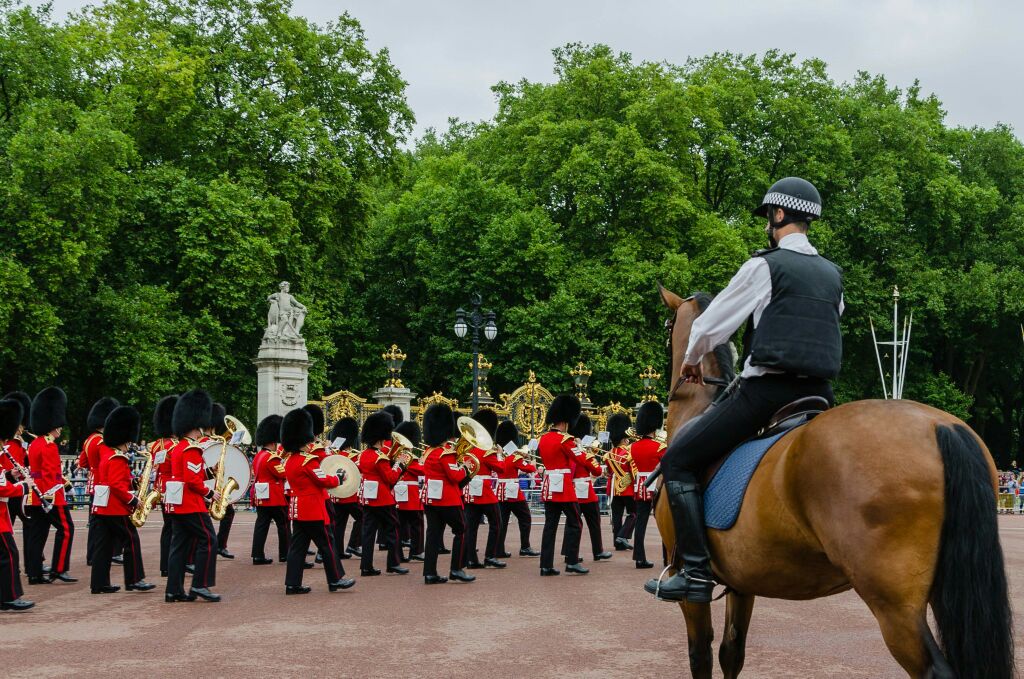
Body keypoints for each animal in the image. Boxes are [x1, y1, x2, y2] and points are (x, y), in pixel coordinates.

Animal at [651, 288, 1011, 679]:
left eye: (668, 325)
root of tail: (941, 426)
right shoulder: (741, 584)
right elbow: (731, 652)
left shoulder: (691, 592)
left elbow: (699, 654)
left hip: (895, 607)